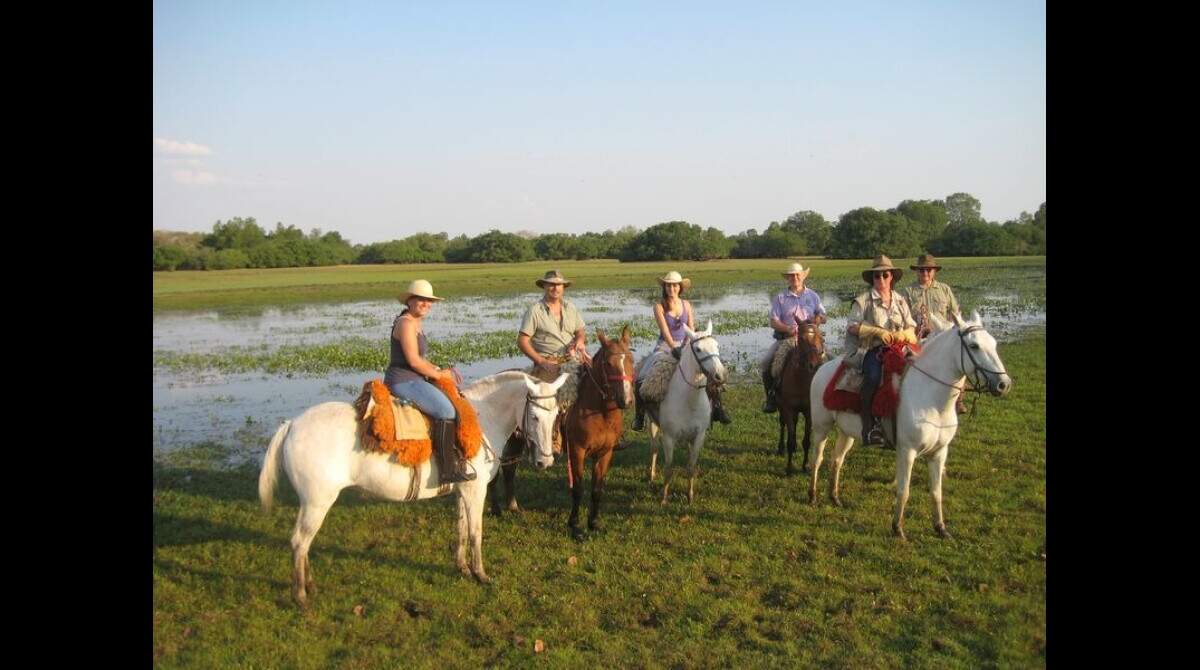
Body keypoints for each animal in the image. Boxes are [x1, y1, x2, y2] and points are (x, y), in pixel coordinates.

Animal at [258, 372, 566, 609]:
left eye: (556, 416)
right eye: (534, 417)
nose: (545, 461)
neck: (482, 418)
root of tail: (292, 426)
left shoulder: (462, 490)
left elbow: (461, 530)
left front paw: (462, 568)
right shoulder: (475, 490)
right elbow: (476, 532)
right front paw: (480, 574)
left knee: (303, 543)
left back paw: (309, 585)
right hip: (317, 503)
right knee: (300, 542)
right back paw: (301, 596)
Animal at [648, 324, 729, 506]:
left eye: (717, 346)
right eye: (698, 349)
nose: (720, 375)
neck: (688, 400)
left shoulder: (699, 436)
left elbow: (691, 466)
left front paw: (690, 496)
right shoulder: (669, 437)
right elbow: (668, 467)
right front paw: (664, 499)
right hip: (652, 424)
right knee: (654, 448)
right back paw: (651, 476)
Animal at [777, 316, 825, 477]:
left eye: (821, 338)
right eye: (802, 339)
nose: (814, 365)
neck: (800, 379)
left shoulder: (809, 411)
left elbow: (806, 441)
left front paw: (805, 466)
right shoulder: (788, 409)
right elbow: (791, 440)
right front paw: (789, 468)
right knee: (782, 424)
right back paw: (780, 449)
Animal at [806, 314, 1012, 540]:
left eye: (993, 344)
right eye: (974, 346)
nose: (1004, 384)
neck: (932, 399)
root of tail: (824, 368)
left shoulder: (939, 453)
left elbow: (936, 491)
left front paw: (941, 528)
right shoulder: (907, 451)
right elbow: (903, 491)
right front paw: (897, 528)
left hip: (847, 432)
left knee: (836, 460)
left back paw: (834, 498)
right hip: (821, 427)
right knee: (817, 460)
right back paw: (813, 496)